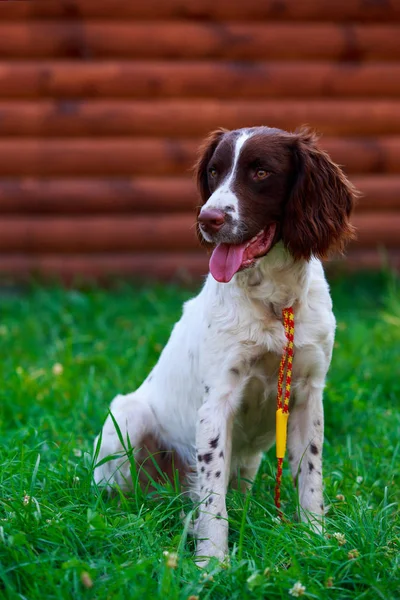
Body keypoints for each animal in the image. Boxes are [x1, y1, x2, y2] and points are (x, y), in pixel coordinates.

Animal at [93, 124, 356, 564]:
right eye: (214, 172)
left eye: (262, 172)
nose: (208, 219)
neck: (274, 302)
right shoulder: (217, 400)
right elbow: (213, 499)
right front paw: (211, 563)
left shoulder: (308, 393)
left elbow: (310, 477)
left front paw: (314, 540)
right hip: (127, 417)